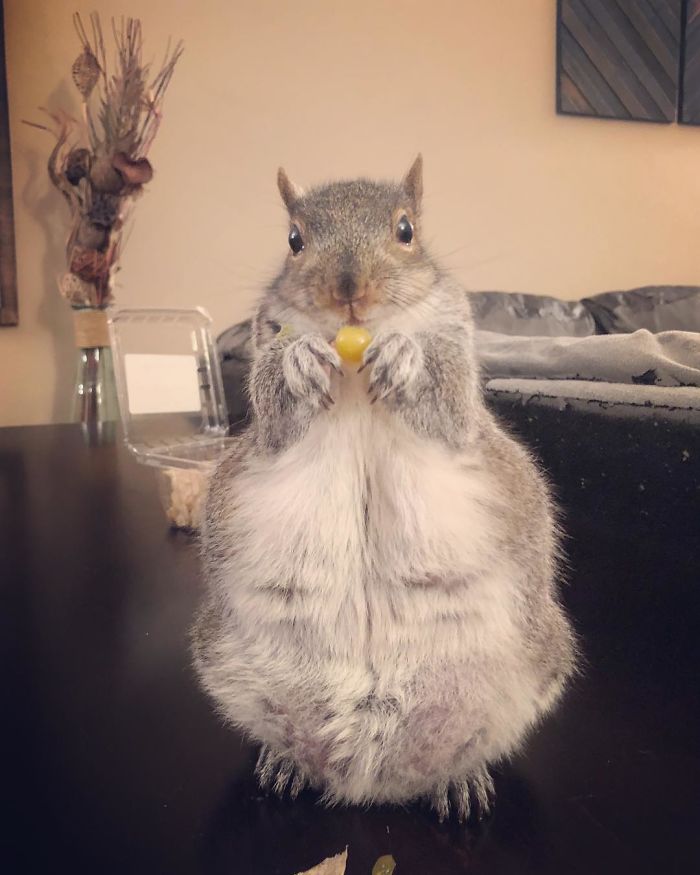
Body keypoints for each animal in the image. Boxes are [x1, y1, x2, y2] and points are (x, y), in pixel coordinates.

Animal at [193, 156, 577, 821]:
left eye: (406, 230)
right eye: (293, 240)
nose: (350, 289)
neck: (353, 369)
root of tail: (371, 784)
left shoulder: (457, 366)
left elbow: (448, 400)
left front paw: (408, 360)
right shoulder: (269, 378)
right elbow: (273, 406)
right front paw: (296, 364)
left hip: (533, 666)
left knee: (468, 751)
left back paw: (460, 780)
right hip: (223, 659)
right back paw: (285, 763)